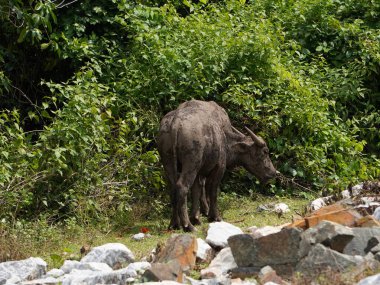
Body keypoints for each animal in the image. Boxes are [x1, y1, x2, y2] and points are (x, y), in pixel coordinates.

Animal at [157, 100, 276, 231]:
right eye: (265, 152)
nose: (274, 172)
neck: (224, 137)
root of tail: (175, 122)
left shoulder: (199, 171)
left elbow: (196, 190)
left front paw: (196, 218)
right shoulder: (219, 168)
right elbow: (213, 190)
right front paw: (214, 217)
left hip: (168, 162)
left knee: (173, 188)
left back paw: (174, 223)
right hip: (191, 164)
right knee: (182, 187)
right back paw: (188, 225)